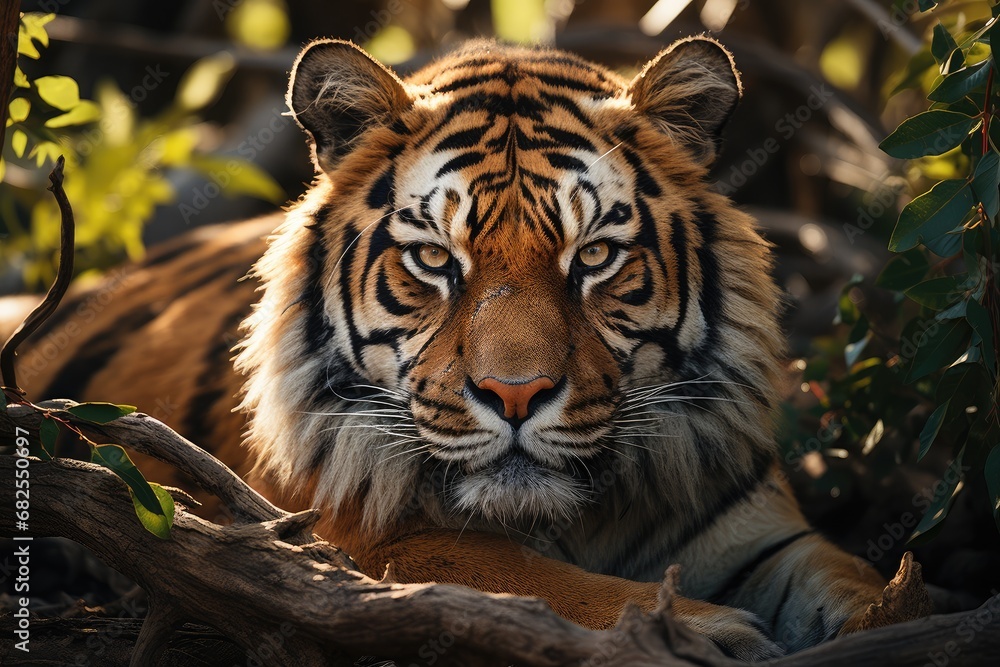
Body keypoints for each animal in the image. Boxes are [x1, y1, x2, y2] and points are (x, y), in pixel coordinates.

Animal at [4, 36, 931, 659]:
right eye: (433, 260)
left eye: (594, 255)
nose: (516, 394)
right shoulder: (354, 543)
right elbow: (525, 575)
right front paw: (704, 632)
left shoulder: (761, 533)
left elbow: (851, 577)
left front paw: (896, 615)